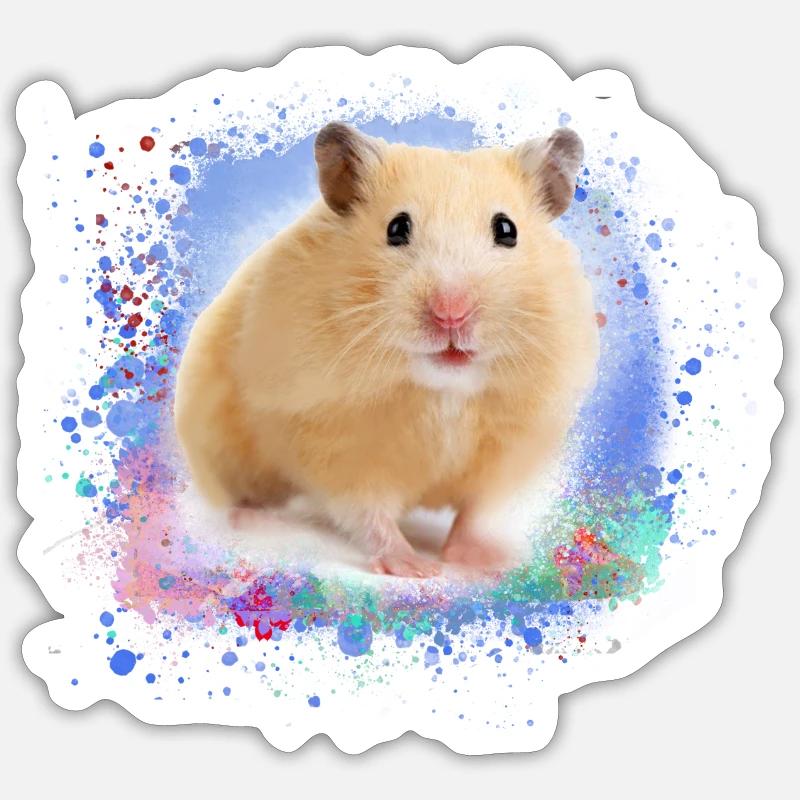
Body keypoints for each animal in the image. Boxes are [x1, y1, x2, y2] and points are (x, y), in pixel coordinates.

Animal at [174, 122, 599, 578]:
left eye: (507, 230)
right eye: (397, 228)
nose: (451, 313)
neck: (443, 390)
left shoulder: (509, 448)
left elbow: (477, 513)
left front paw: (487, 564)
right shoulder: (333, 441)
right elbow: (368, 512)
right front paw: (417, 568)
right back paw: (257, 521)